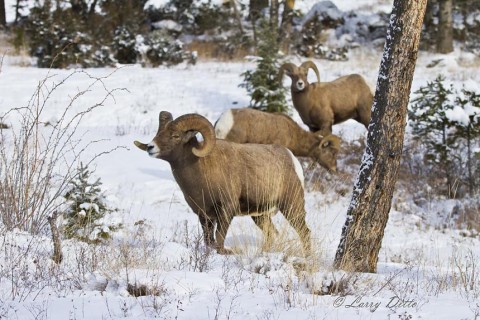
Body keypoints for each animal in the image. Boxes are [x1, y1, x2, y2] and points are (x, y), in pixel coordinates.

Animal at [133, 111, 312, 254]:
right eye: (159, 132)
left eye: (175, 135)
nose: (150, 147)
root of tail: (292, 159)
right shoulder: (204, 216)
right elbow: (209, 241)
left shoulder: (226, 211)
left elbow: (219, 242)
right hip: (260, 216)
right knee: (272, 234)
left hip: (291, 207)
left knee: (304, 232)